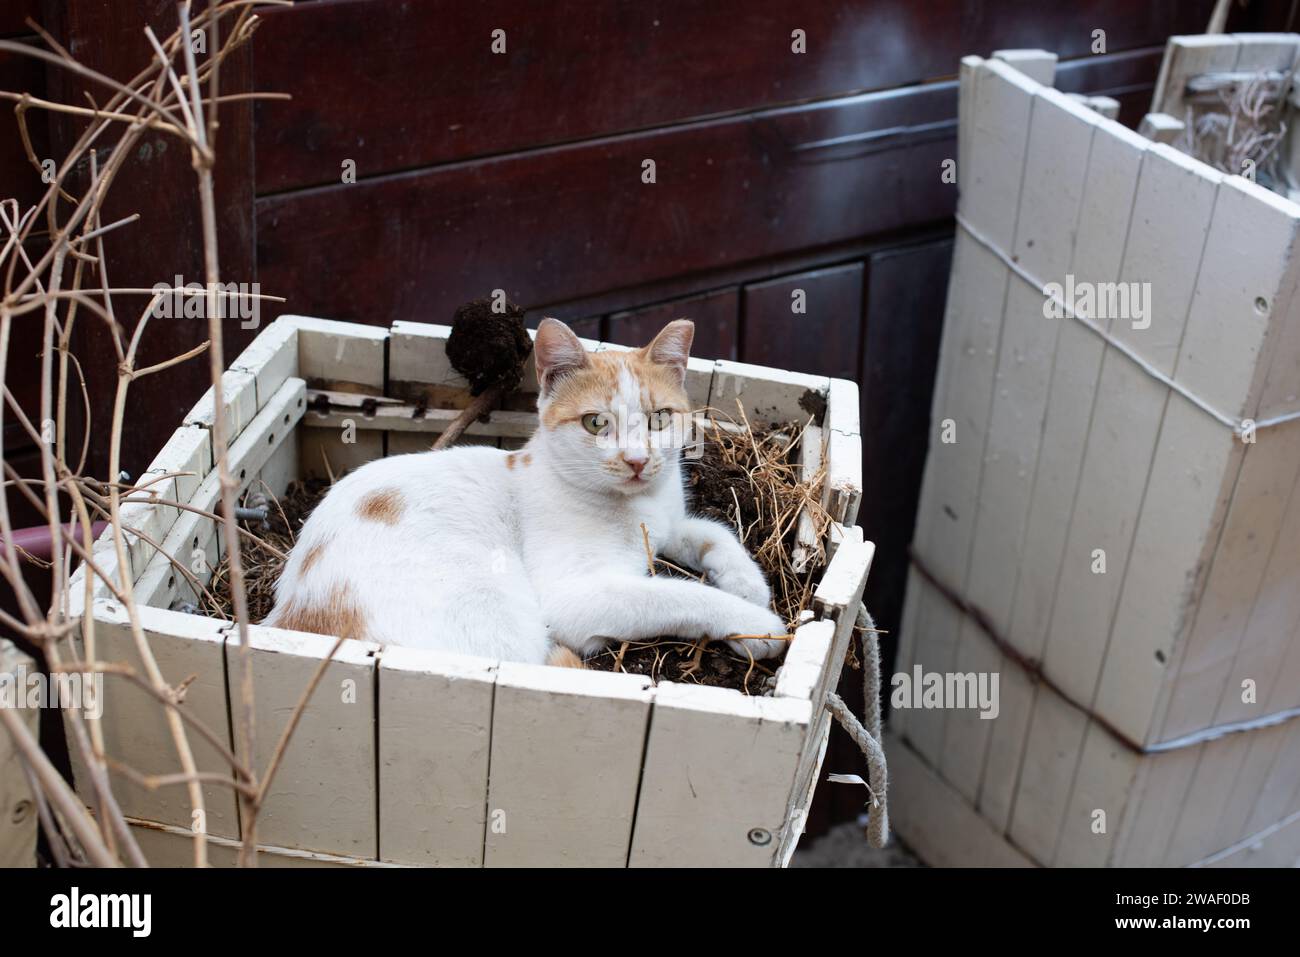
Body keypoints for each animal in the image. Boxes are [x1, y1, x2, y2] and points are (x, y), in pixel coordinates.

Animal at [266, 319, 780, 665]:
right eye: (596, 423)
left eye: (658, 418)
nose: (636, 461)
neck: (639, 505)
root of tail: (292, 615)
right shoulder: (577, 593)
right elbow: (677, 595)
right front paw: (758, 626)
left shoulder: (669, 524)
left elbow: (713, 533)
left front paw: (750, 585)